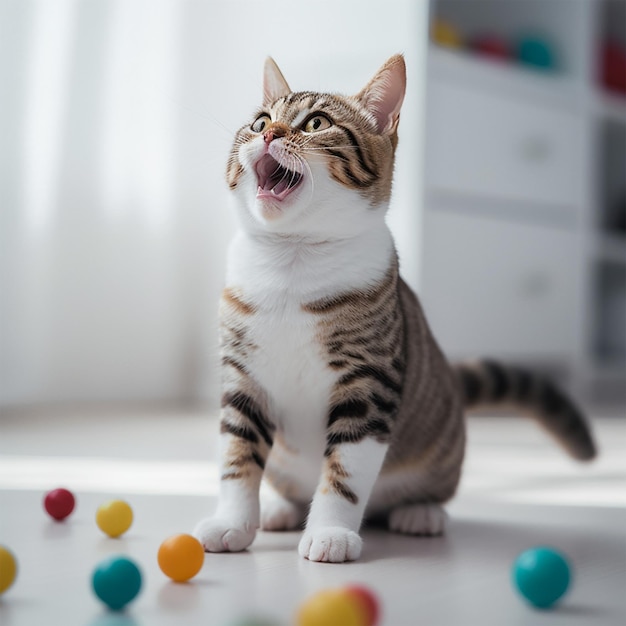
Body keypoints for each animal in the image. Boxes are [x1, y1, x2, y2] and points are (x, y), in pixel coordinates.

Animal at [191, 53, 596, 560]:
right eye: (260, 122)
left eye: (317, 123)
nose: (268, 135)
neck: (292, 258)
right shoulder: (243, 375)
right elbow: (237, 456)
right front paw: (233, 523)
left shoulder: (369, 380)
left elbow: (345, 469)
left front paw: (330, 532)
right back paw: (282, 509)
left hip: (441, 451)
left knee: (424, 490)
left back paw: (420, 512)